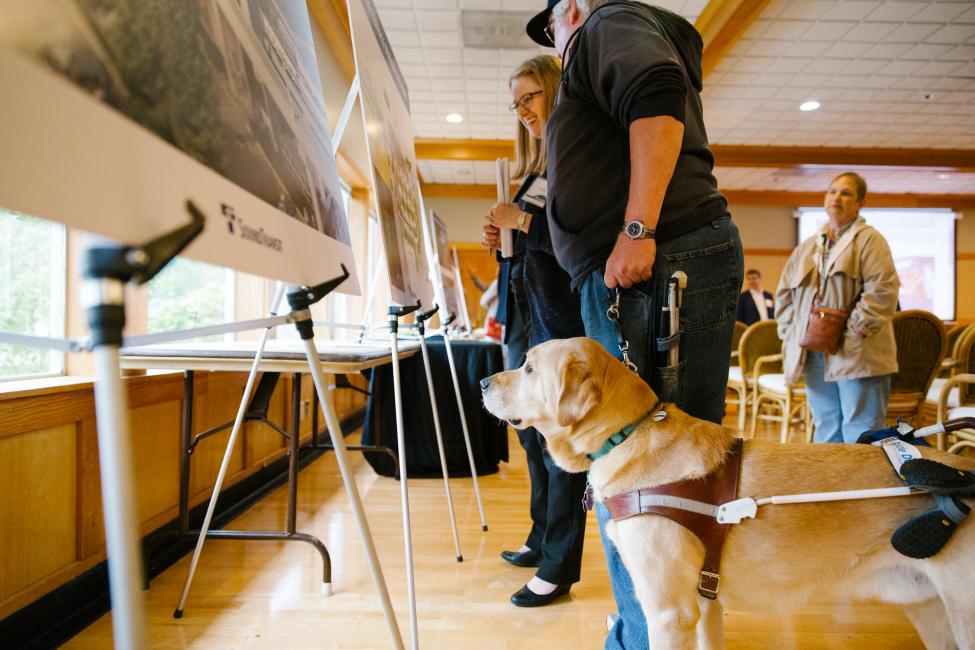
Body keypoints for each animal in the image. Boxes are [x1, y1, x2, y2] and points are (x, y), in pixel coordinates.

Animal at [484, 336, 975, 644]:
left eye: (529, 367)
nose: (485, 381)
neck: (628, 435)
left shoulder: (669, 613)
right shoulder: (705, 606)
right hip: (931, 611)